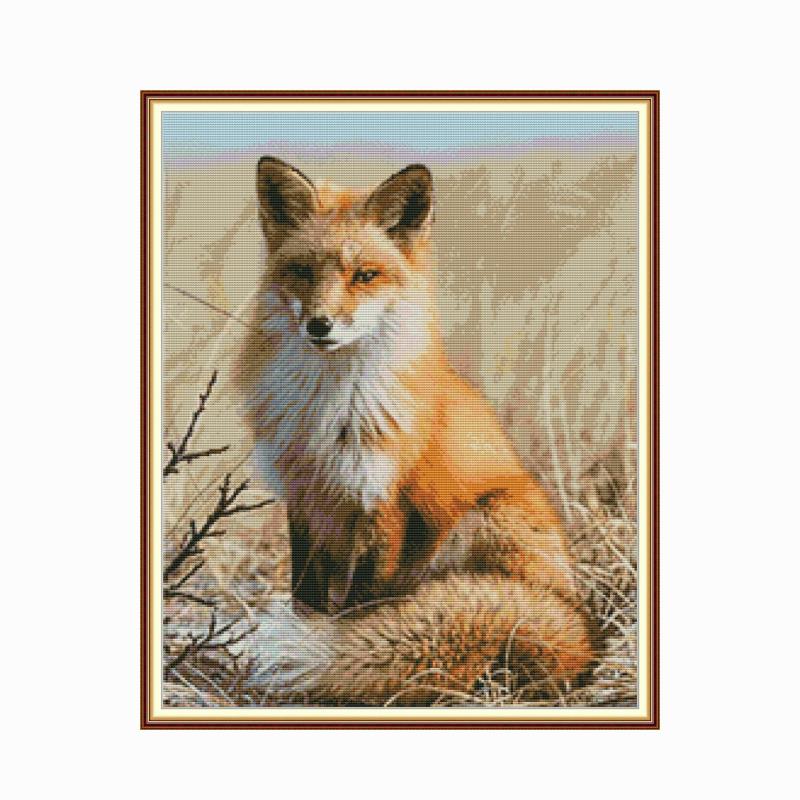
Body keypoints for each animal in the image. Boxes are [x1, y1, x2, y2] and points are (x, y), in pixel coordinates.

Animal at [234, 156, 596, 705]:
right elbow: (306, 594)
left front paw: (337, 655)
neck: (331, 410)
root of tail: (578, 622)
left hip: (482, 519)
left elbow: (359, 609)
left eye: (364, 275)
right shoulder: (306, 499)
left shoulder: (385, 504)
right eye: (303, 271)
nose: (319, 325)